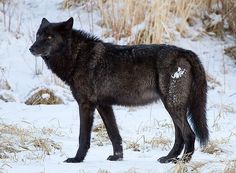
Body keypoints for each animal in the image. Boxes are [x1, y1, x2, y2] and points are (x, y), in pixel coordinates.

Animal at [29, 17, 208, 164]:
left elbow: (83, 137)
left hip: (172, 105)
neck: (77, 56)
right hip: (173, 107)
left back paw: (183, 161)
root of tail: (185, 52)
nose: (31, 48)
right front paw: (117, 157)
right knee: (180, 136)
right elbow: (113, 134)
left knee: (189, 134)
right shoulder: (104, 105)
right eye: (38, 35)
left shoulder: (86, 104)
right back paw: (168, 158)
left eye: (49, 37)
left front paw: (77, 159)